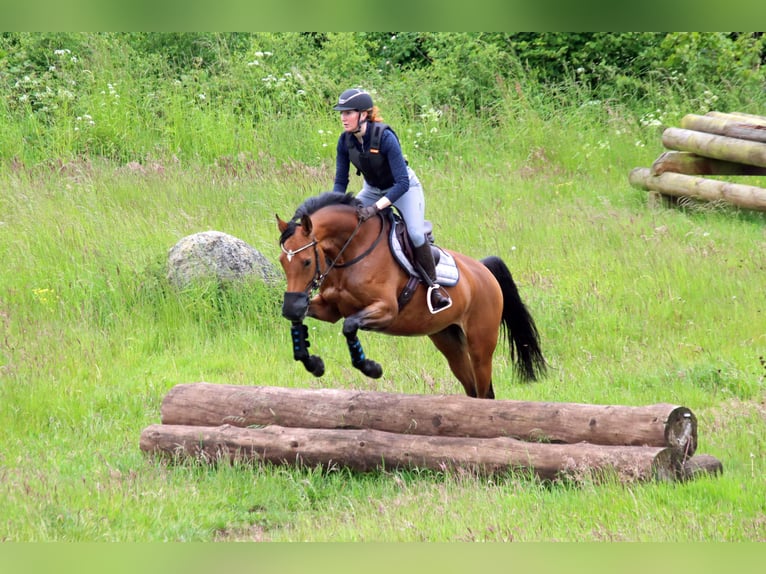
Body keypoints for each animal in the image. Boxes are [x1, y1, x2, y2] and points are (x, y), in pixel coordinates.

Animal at [276, 192, 546, 399]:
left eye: (307, 261)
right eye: (281, 261)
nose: (289, 307)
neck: (352, 251)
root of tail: (483, 270)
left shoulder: (386, 310)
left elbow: (350, 325)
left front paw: (372, 368)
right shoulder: (329, 309)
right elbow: (304, 320)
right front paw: (313, 363)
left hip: (480, 343)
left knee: (484, 391)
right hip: (448, 339)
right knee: (471, 387)